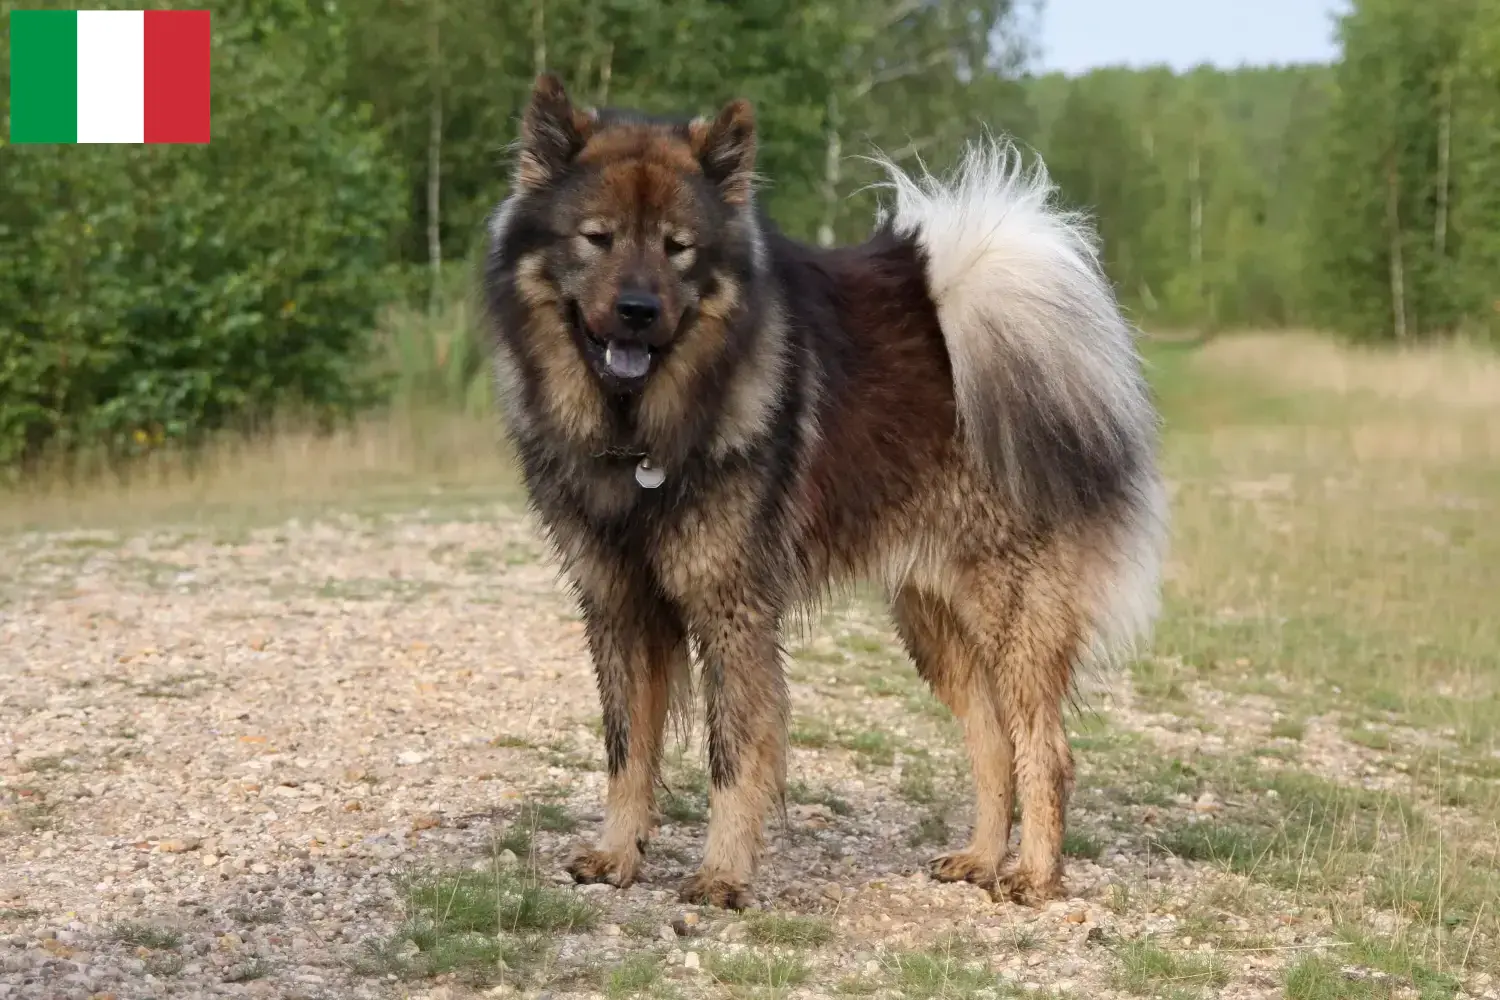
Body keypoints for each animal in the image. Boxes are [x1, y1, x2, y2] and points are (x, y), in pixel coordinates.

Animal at [486, 74, 1164, 911]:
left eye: (679, 248)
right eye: (598, 238)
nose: (639, 312)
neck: (643, 431)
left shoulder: (730, 609)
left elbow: (733, 752)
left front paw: (722, 874)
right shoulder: (617, 604)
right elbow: (626, 749)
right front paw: (618, 855)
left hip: (1014, 617)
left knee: (1045, 748)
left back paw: (1033, 874)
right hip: (932, 617)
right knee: (991, 743)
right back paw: (978, 858)